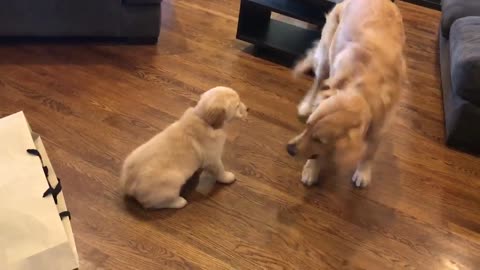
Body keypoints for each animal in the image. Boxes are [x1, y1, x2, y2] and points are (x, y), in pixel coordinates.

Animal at [120, 86, 248, 209]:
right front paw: (227, 177)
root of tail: (128, 186)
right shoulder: (213, 159)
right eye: (237, 106)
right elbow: (220, 170)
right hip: (173, 181)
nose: (248, 109)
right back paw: (179, 202)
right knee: (152, 204)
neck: (202, 118)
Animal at [286, 0, 406, 188]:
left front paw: (363, 172)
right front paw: (312, 169)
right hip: (326, 54)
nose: (289, 149)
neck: (362, 89)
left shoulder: (381, 124)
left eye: (318, 140)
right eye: (307, 126)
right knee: (317, 82)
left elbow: (370, 151)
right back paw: (307, 104)